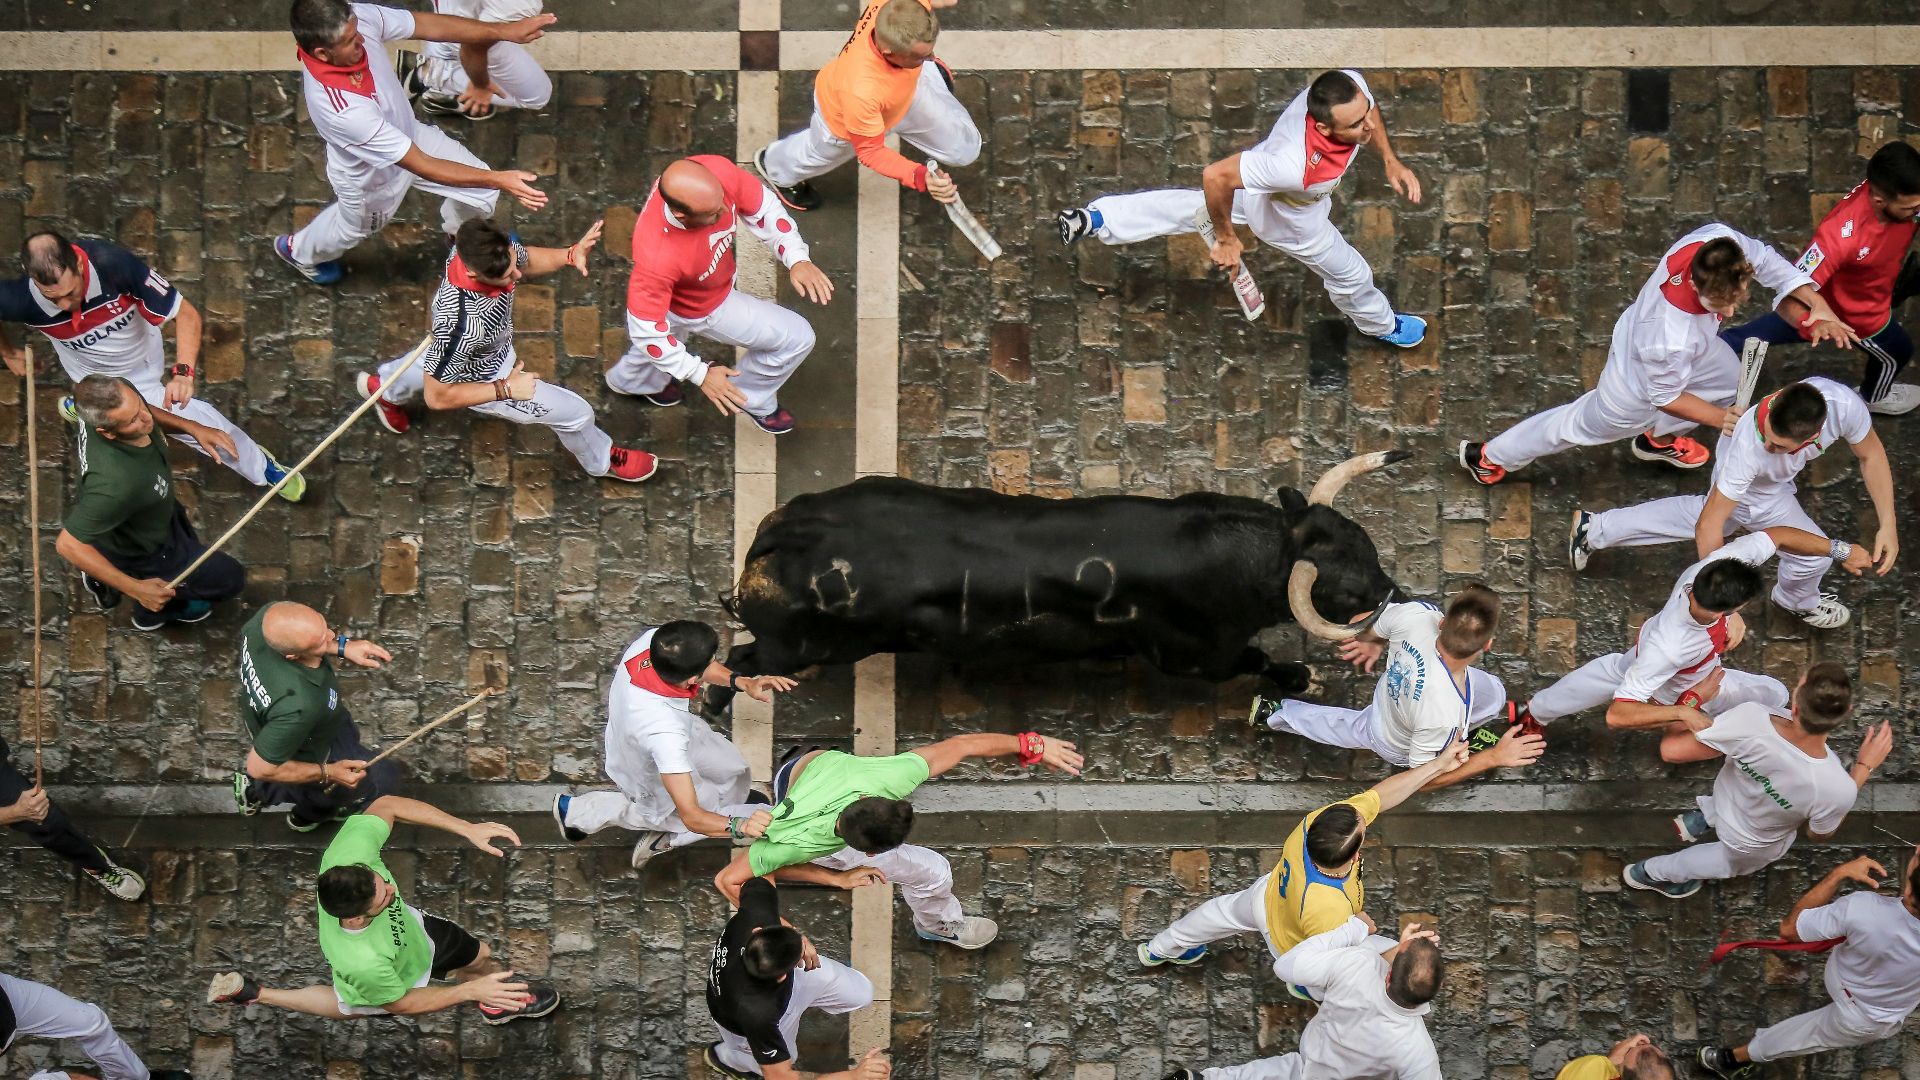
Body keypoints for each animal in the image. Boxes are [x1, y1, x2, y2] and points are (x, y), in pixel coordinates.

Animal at [702, 450, 1407, 716]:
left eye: (1365, 540)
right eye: (1346, 593)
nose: (1396, 594)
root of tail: (783, 536)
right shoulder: (1192, 657)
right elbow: (1257, 660)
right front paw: (1301, 677)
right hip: (801, 647)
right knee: (738, 661)